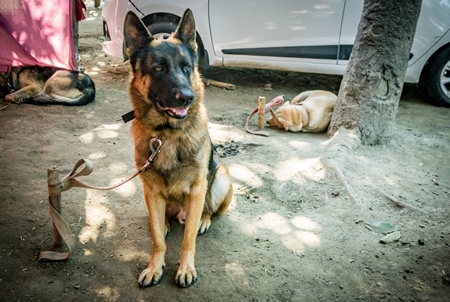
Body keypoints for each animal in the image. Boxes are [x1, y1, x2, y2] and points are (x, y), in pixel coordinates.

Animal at [124, 8, 234, 288]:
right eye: (158, 68)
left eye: (186, 68)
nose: (187, 97)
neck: (166, 135)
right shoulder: (151, 190)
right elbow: (157, 241)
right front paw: (154, 266)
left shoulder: (196, 190)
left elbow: (188, 239)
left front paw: (185, 268)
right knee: (161, 221)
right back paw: (164, 222)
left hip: (221, 176)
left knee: (208, 210)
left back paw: (203, 221)